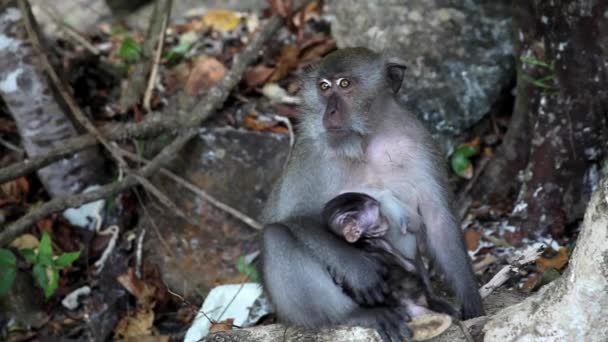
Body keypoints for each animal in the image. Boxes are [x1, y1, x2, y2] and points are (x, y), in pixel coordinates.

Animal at [262, 46, 484, 340]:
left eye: (345, 84)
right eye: (324, 87)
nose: (330, 112)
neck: (367, 139)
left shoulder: (419, 140)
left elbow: (438, 220)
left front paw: (472, 301)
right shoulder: (311, 151)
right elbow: (296, 219)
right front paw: (359, 270)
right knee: (276, 236)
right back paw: (356, 314)